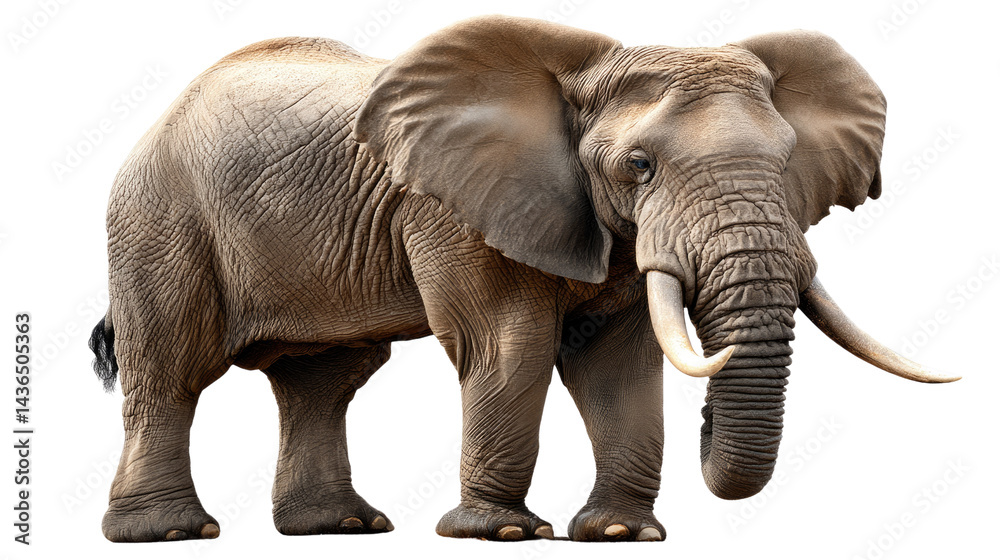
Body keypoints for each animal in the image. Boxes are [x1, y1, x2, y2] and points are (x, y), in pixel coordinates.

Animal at [89, 15, 957, 543]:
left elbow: (617, 365)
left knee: (325, 380)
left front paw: (620, 535)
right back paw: (174, 533)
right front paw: (501, 534)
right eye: (639, 166)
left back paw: (341, 529)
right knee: (171, 368)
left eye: (786, 164)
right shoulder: (450, 206)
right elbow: (508, 344)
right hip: (158, 221)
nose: (711, 427)